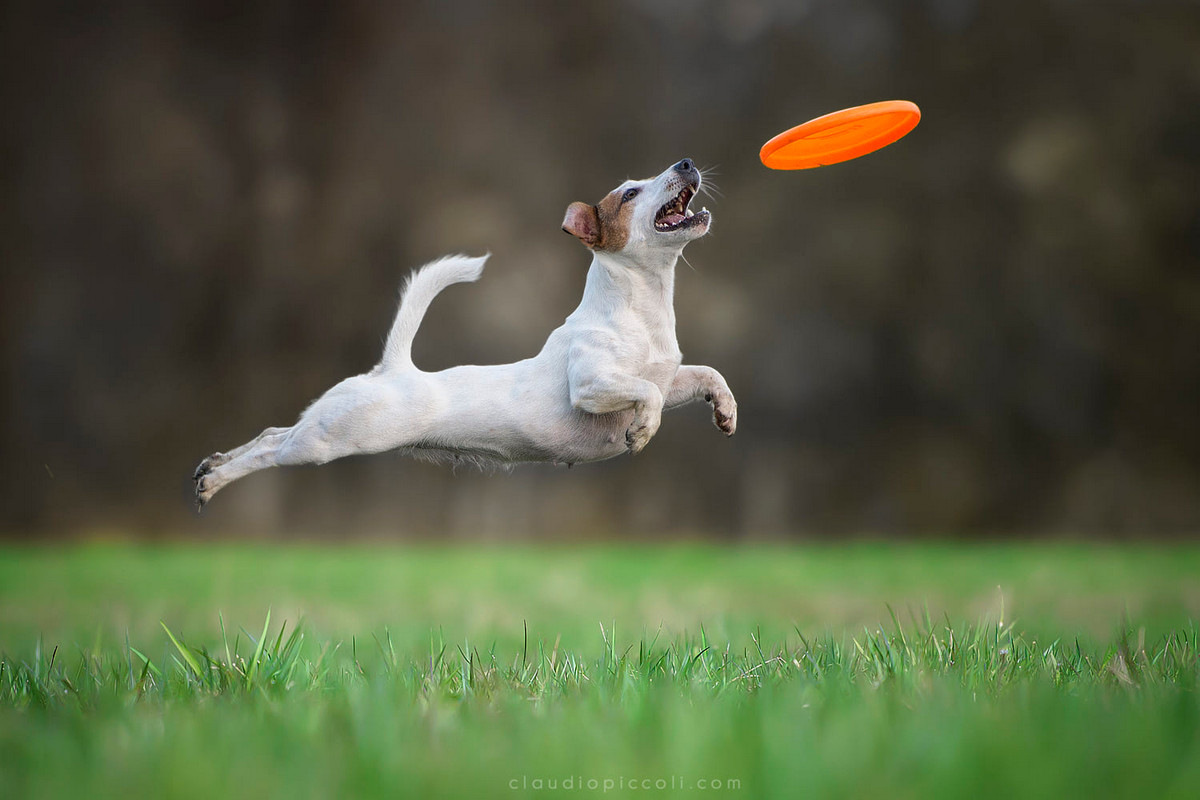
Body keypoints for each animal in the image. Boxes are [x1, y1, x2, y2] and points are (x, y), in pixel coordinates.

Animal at [192, 159, 734, 510]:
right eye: (629, 193)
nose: (686, 161)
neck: (639, 308)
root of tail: (392, 370)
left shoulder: (671, 378)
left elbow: (704, 374)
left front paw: (725, 411)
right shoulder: (591, 386)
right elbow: (644, 394)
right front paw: (643, 430)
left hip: (324, 430)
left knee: (271, 432)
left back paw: (211, 466)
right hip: (329, 441)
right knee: (270, 449)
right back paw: (216, 480)